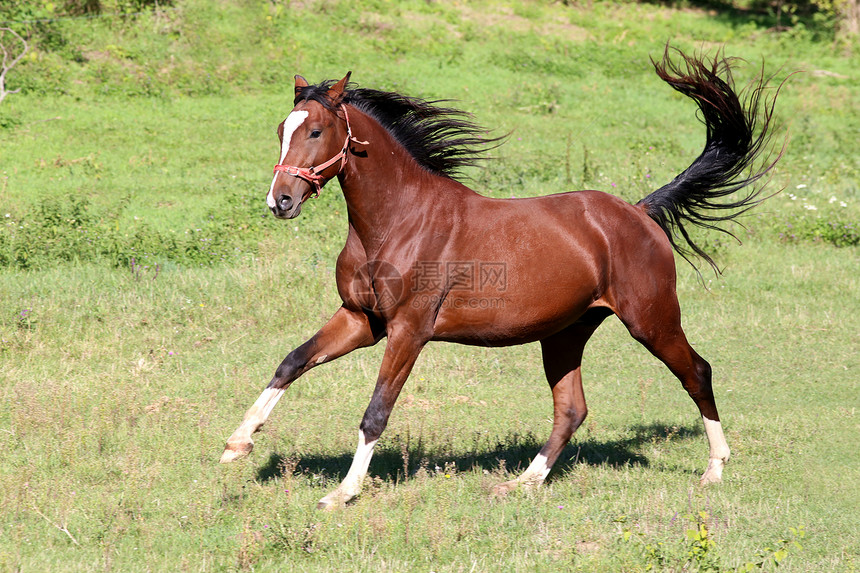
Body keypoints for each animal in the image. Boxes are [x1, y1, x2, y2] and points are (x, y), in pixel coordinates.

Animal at [220, 45, 780, 510]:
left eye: (315, 131)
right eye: (281, 130)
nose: (280, 201)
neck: (398, 220)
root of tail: (639, 213)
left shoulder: (408, 331)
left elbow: (376, 410)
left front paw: (341, 494)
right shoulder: (362, 320)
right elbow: (292, 361)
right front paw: (237, 443)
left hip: (652, 320)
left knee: (697, 373)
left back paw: (714, 471)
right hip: (565, 333)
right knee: (571, 409)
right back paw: (521, 483)